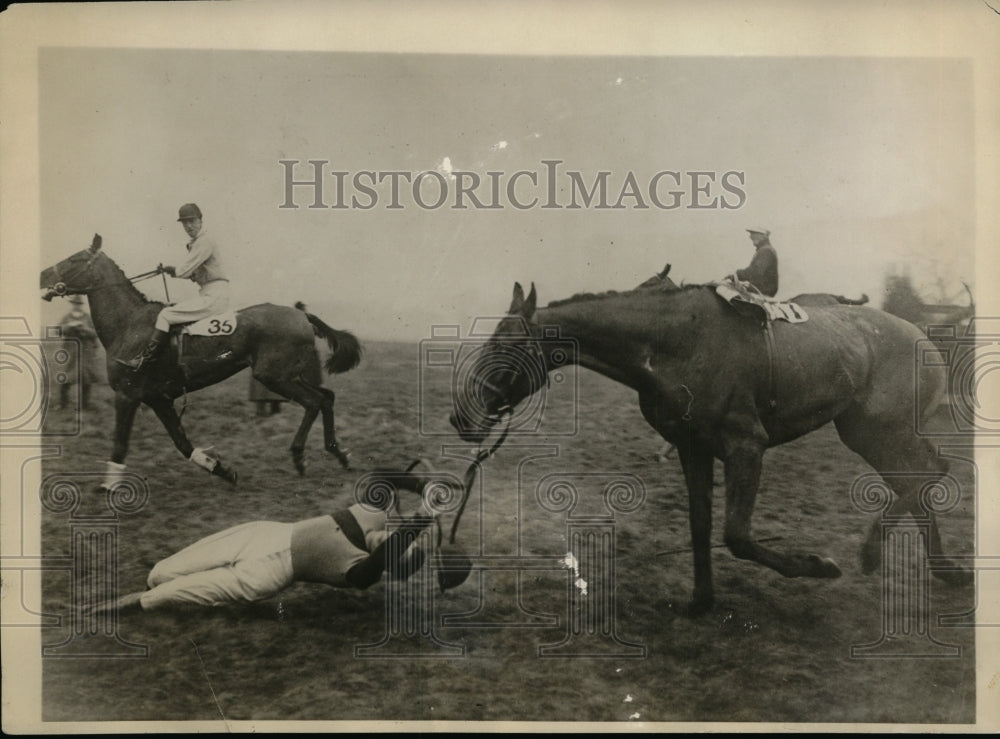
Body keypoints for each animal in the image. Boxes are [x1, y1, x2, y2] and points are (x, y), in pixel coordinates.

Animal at [44, 236, 364, 486]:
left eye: (75, 259)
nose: (42, 275)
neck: (129, 324)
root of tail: (301, 314)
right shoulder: (159, 399)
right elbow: (183, 444)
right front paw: (221, 468)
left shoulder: (127, 395)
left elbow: (120, 444)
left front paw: (108, 487)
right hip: (291, 375)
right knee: (326, 397)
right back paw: (340, 454)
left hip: (275, 377)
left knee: (314, 401)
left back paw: (300, 456)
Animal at [452, 280, 968, 616]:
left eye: (504, 345)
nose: (463, 417)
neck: (677, 342)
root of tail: (921, 335)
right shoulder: (693, 449)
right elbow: (700, 523)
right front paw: (701, 600)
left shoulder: (746, 447)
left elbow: (735, 535)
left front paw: (817, 566)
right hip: (865, 431)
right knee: (923, 476)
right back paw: (943, 569)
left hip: (881, 430)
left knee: (930, 471)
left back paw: (874, 551)